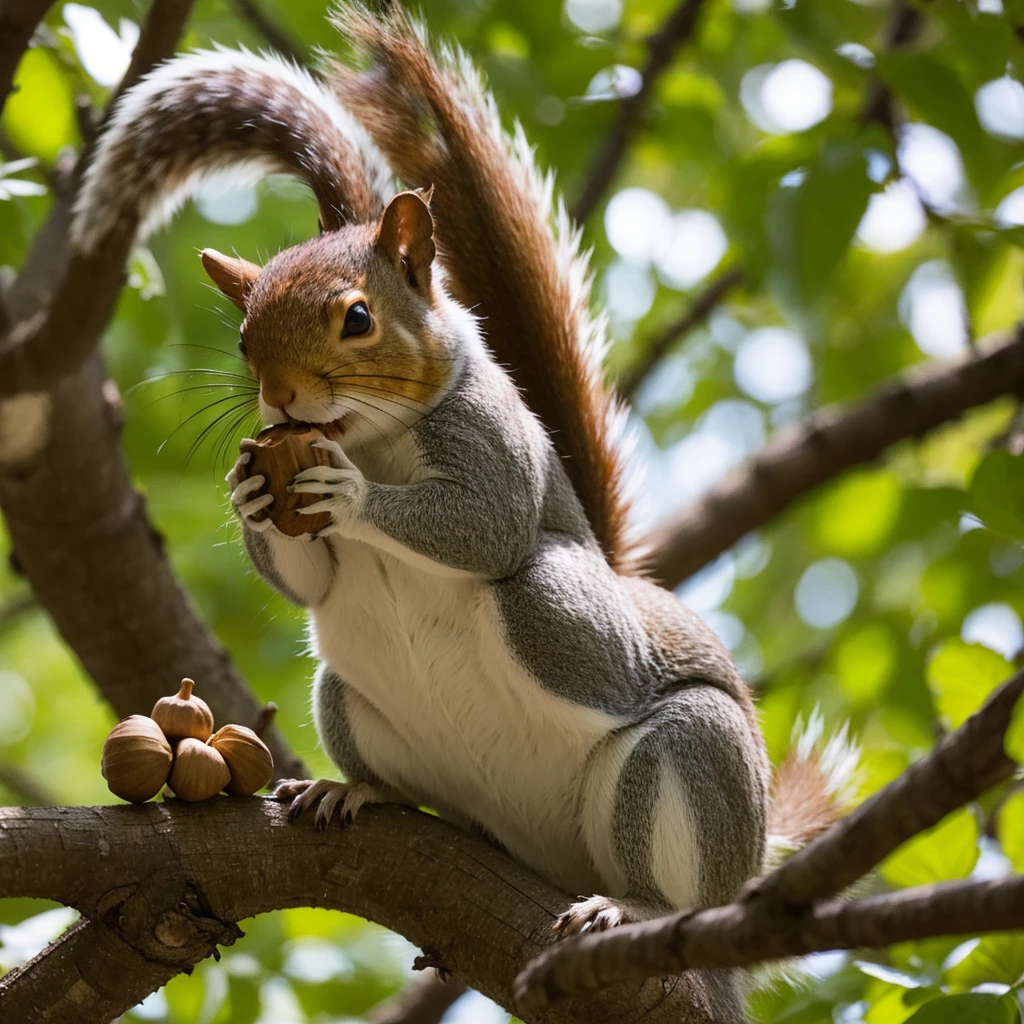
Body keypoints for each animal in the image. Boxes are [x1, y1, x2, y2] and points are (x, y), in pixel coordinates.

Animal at [74, 6, 856, 1015]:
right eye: (244, 338)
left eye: (357, 318)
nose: (280, 400)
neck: (368, 436)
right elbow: (307, 579)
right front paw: (253, 496)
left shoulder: (493, 442)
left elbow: (484, 525)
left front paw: (352, 495)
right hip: (348, 698)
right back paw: (358, 795)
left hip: (659, 718)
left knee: (560, 629)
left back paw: (633, 905)